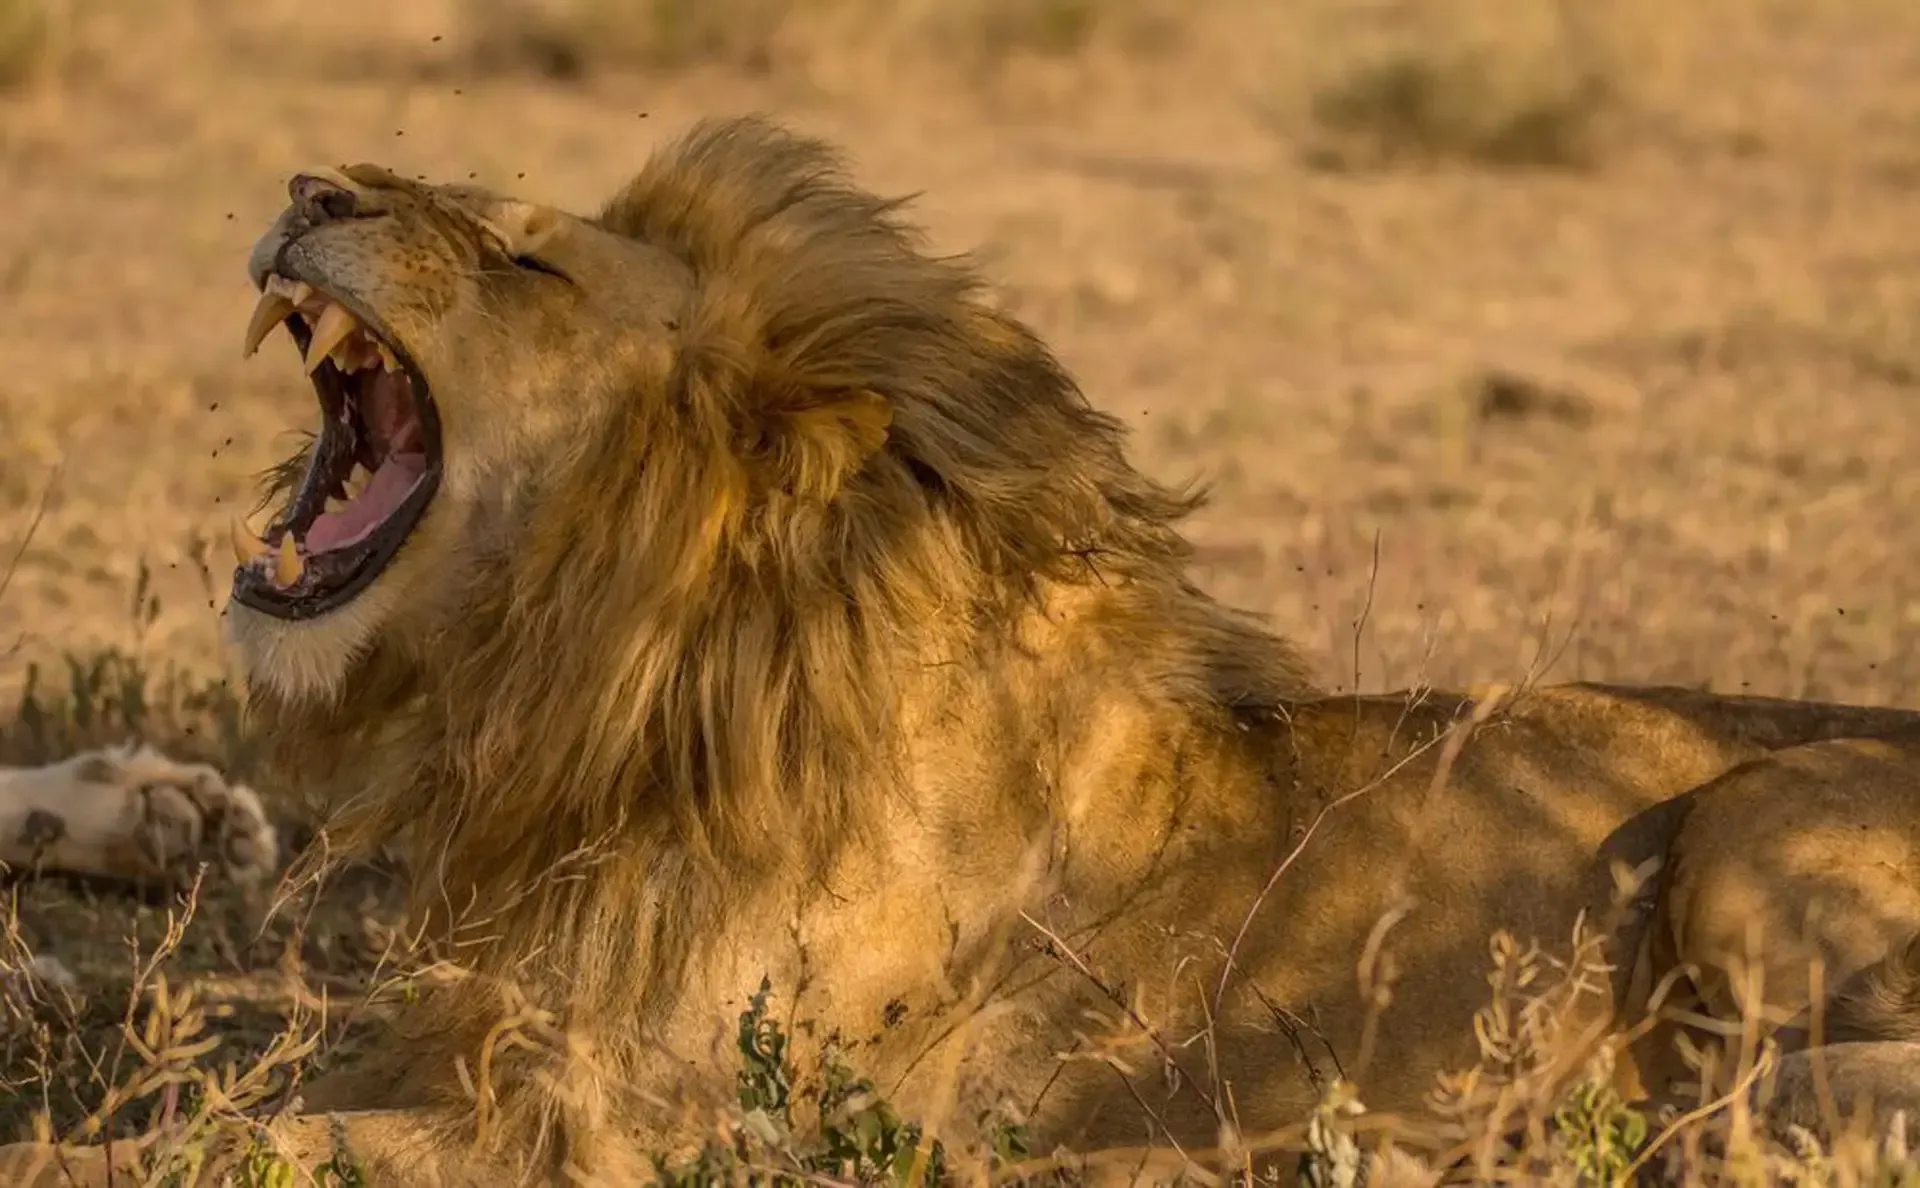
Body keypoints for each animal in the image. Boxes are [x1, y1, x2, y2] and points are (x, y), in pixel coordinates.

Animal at [7, 114, 1920, 1185]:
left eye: (525, 261)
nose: (309, 180)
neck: (607, 690)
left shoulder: (641, 1125)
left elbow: (219, 1141)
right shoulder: (486, 1040)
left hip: (1745, 833)